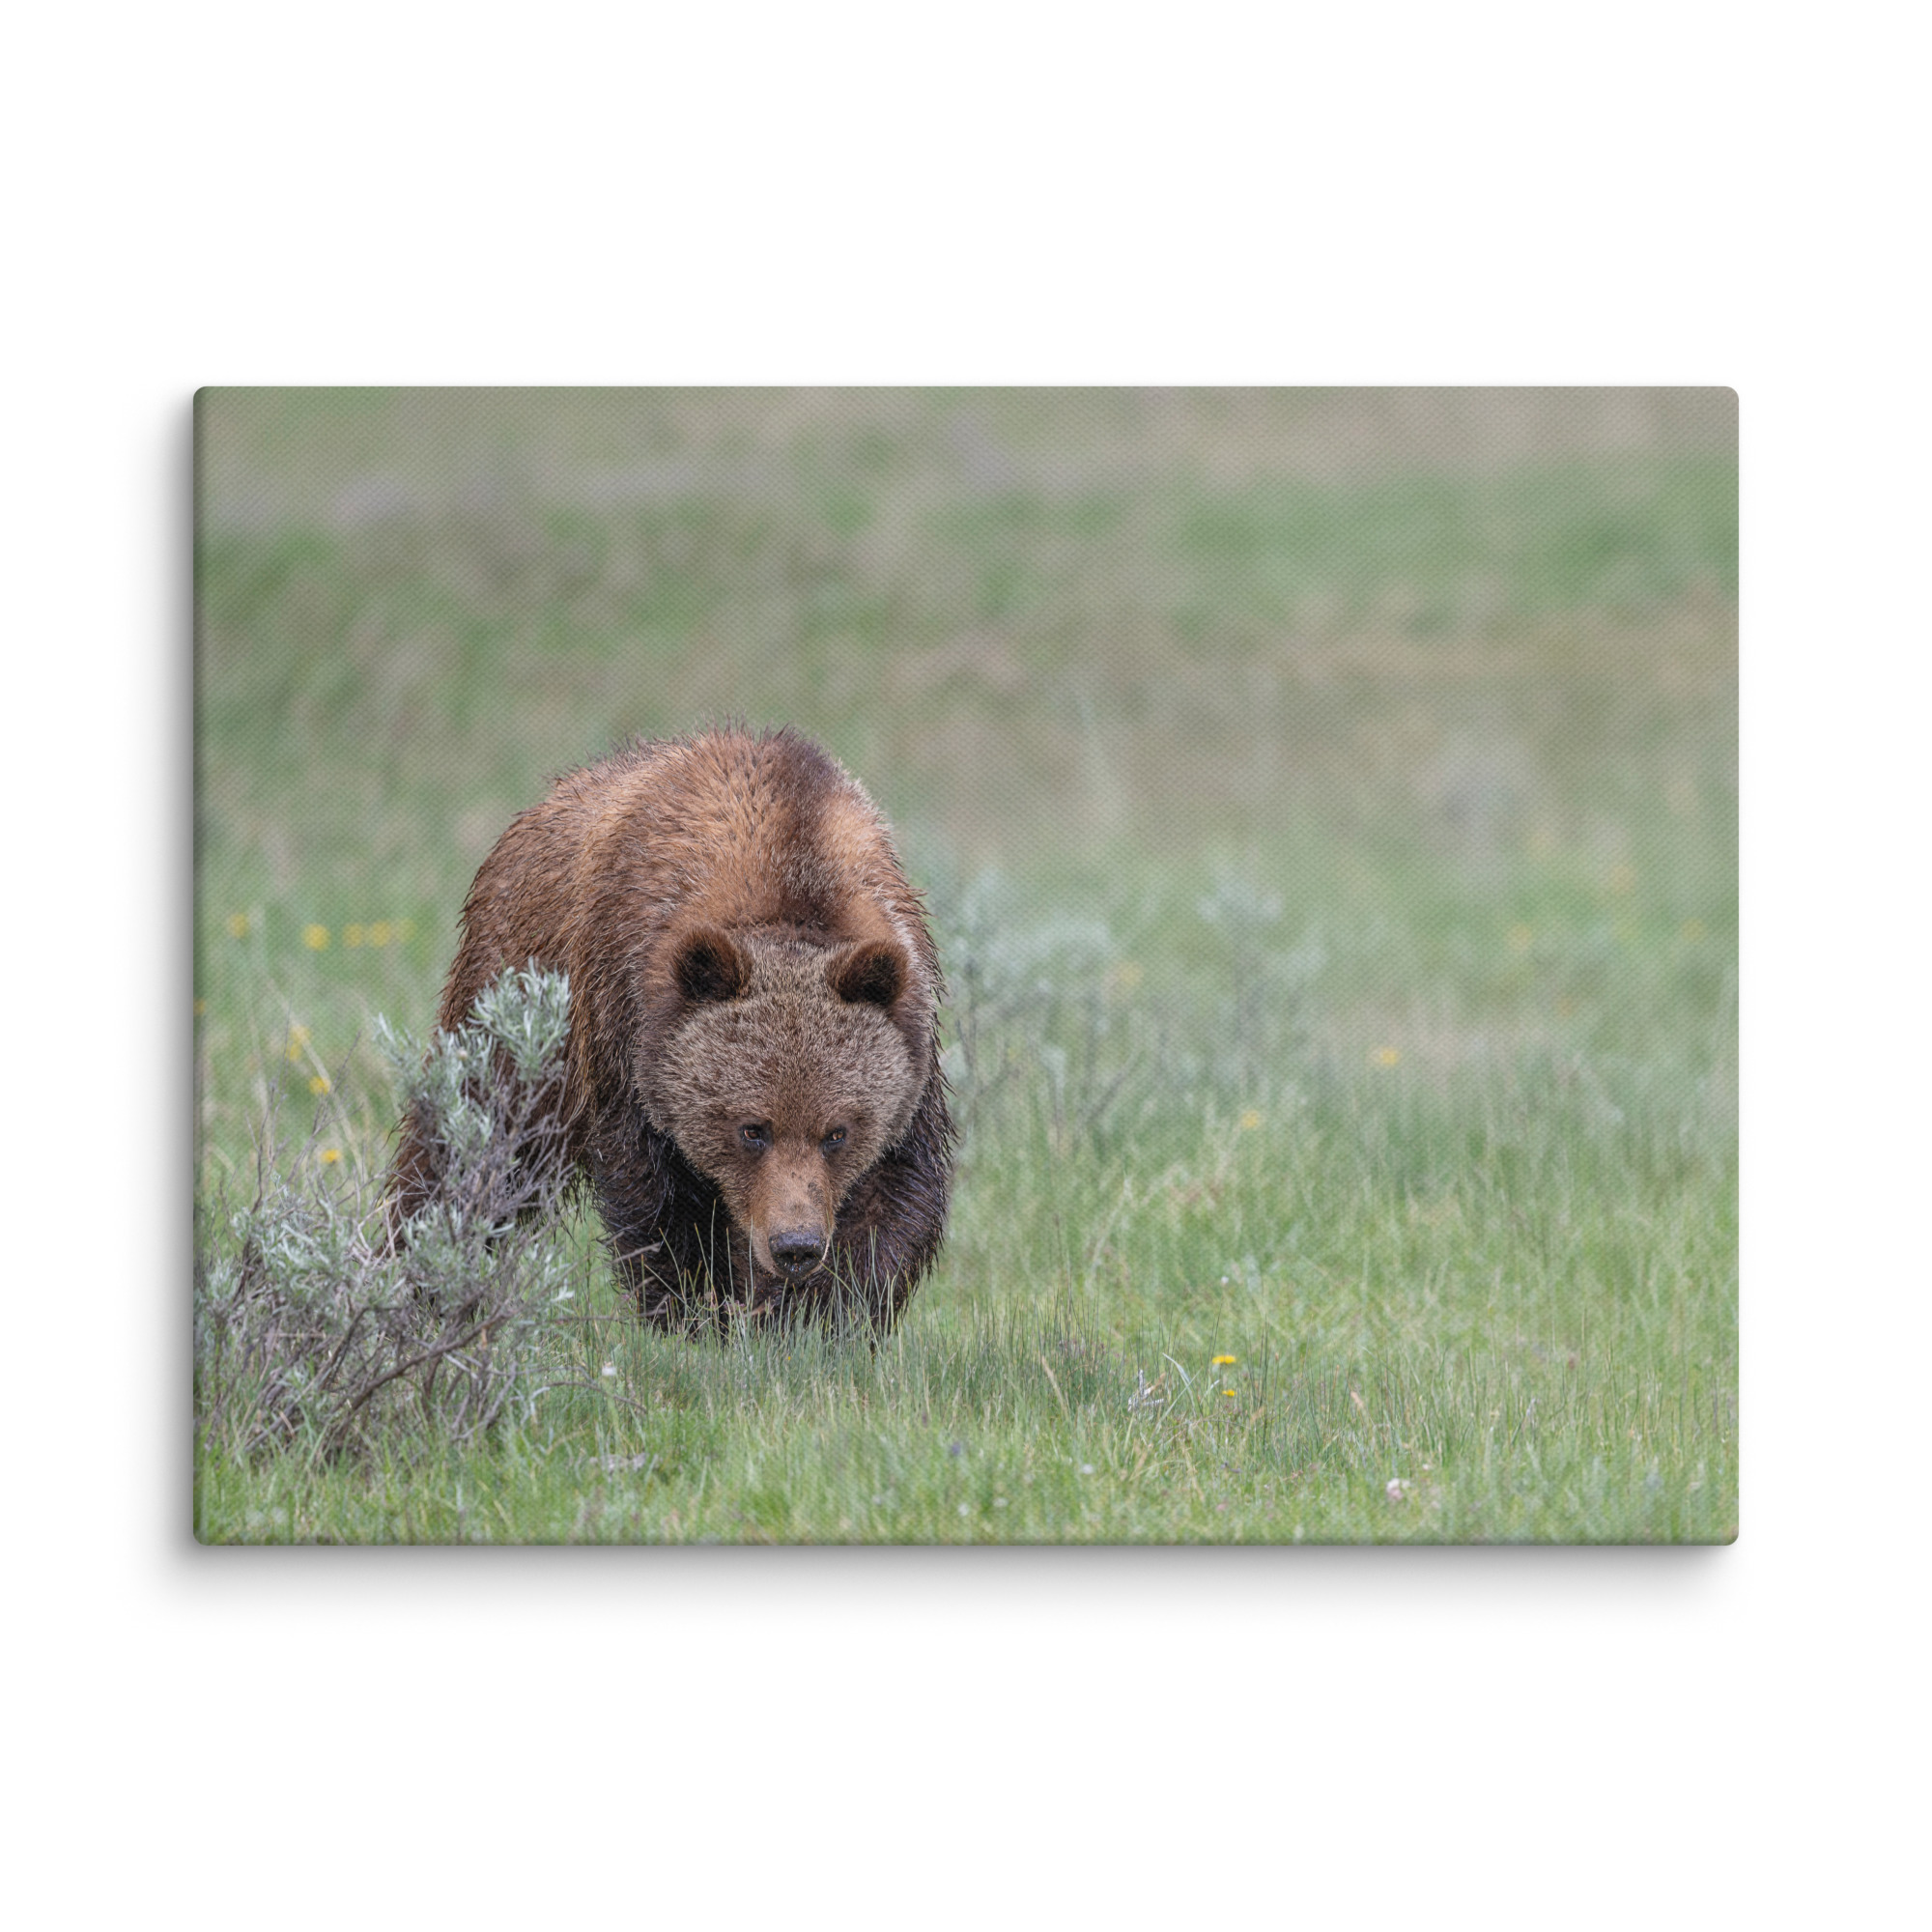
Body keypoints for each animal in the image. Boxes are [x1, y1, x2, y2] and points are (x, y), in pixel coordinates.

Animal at [388, 724, 955, 1332]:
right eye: (751, 1128)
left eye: (837, 1132)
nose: (795, 1246)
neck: (791, 872)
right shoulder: (625, 1029)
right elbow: (659, 1201)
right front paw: (696, 1312)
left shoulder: (910, 1043)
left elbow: (892, 1197)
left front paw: (819, 1317)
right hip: (515, 1002)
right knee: (471, 1141)